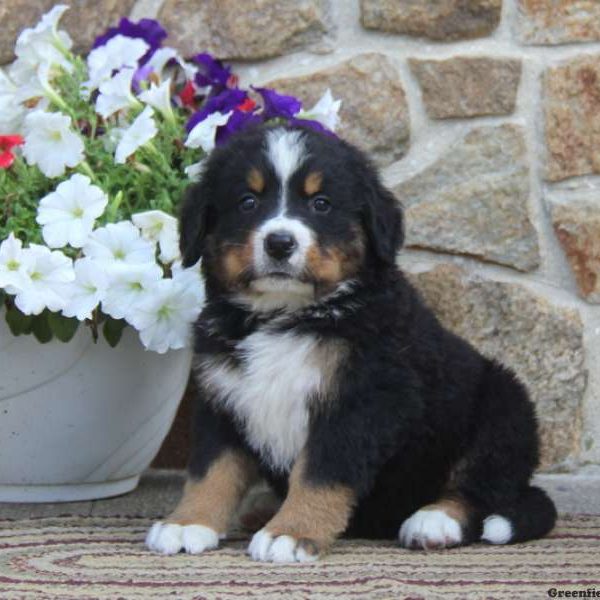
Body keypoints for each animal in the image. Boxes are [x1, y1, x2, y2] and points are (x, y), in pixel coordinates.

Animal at [146, 123, 556, 564]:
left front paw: (291, 532)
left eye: (321, 204)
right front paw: (188, 522)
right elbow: (211, 469)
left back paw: (433, 521)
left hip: (503, 405)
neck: (284, 316)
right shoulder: (223, 397)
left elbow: (319, 474)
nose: (279, 243)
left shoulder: (359, 400)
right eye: (248, 201)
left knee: (481, 487)